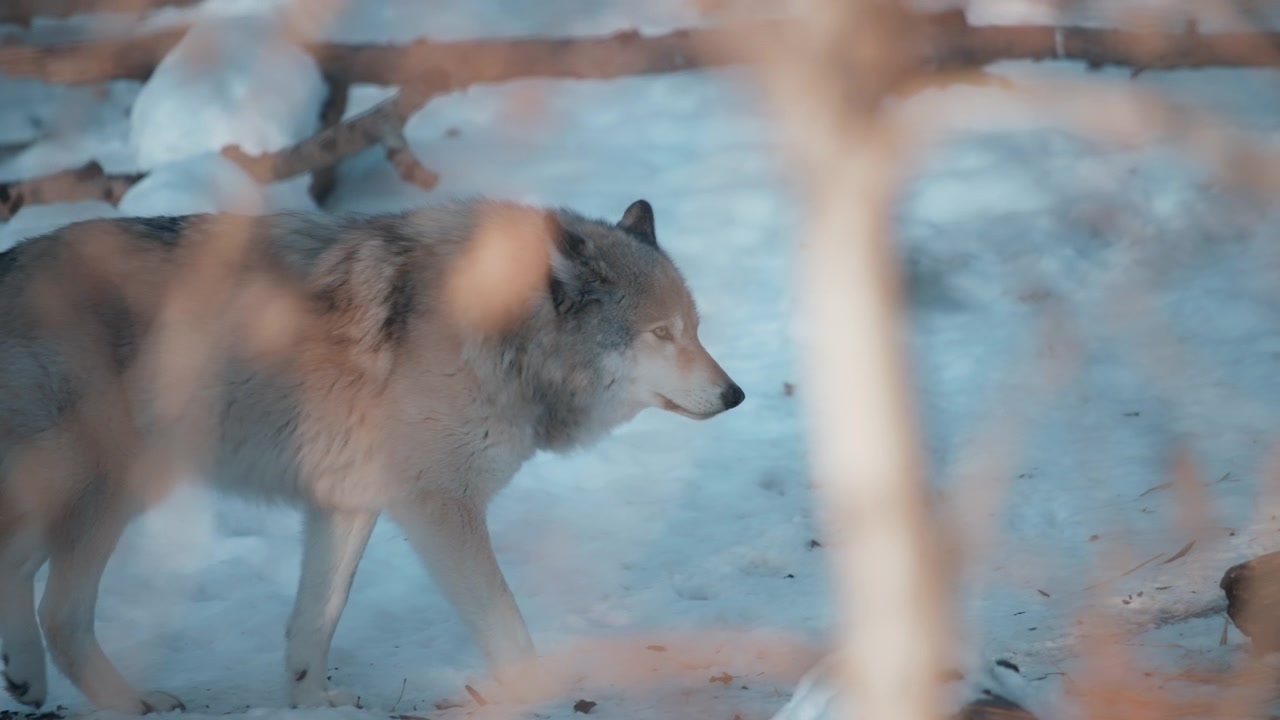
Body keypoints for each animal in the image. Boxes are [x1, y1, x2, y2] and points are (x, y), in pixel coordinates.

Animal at [0, 198, 744, 714]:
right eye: (660, 333)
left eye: (695, 329)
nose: (735, 394)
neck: (500, 337)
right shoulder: (438, 506)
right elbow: (506, 622)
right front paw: (543, 694)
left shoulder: (346, 505)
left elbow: (315, 621)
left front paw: (309, 704)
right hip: (106, 485)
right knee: (56, 608)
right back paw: (113, 698)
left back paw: (40, 681)